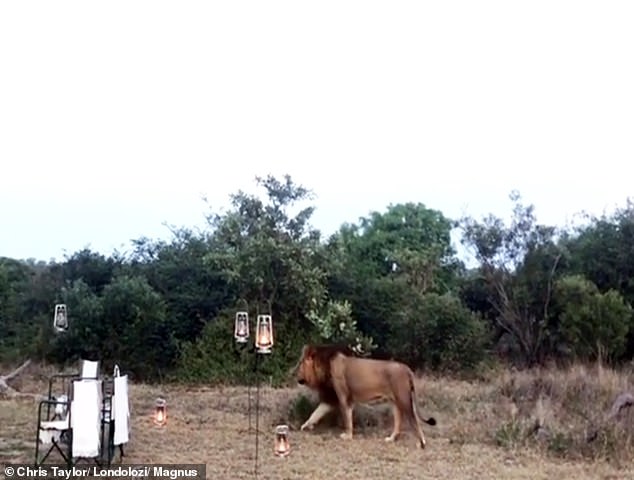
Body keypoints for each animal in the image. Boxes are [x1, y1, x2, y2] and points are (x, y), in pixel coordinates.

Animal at [296, 344, 434, 448]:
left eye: (300, 363)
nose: (296, 377)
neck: (325, 366)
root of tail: (407, 369)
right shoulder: (330, 399)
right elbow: (315, 413)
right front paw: (305, 426)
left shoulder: (343, 397)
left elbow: (347, 419)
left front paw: (348, 436)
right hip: (395, 402)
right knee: (398, 423)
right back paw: (390, 439)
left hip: (404, 399)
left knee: (414, 420)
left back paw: (421, 443)